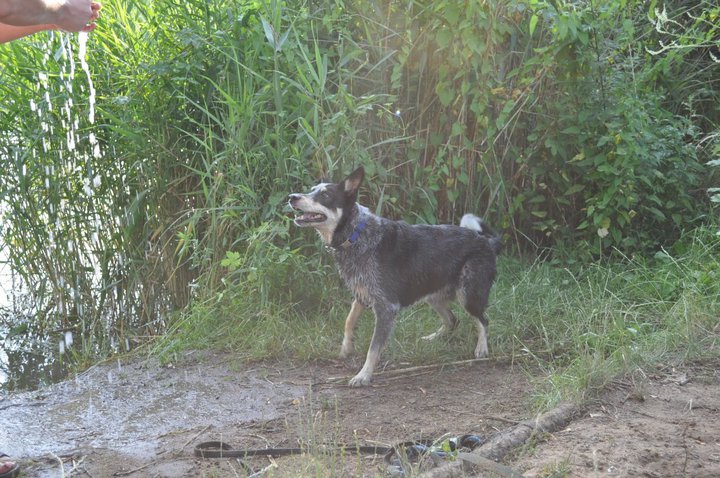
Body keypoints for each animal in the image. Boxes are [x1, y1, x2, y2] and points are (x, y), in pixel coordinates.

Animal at [288, 166, 500, 386]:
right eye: (312, 189)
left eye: (325, 195)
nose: (292, 197)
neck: (356, 235)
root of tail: (487, 241)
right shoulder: (361, 294)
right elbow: (349, 321)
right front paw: (346, 348)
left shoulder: (386, 307)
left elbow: (373, 348)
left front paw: (363, 375)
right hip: (432, 295)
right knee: (453, 320)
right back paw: (432, 338)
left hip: (468, 295)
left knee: (483, 320)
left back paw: (481, 348)